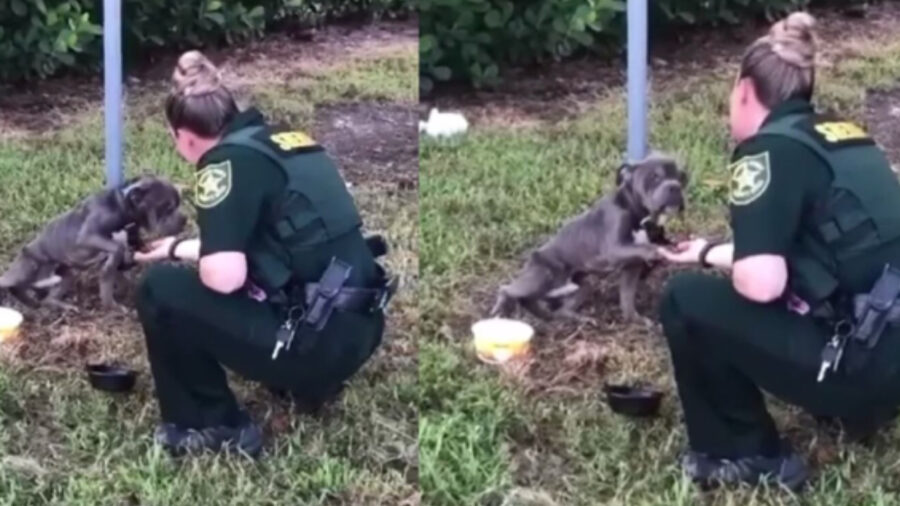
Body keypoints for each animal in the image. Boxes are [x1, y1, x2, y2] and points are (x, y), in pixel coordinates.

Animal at [0, 174, 187, 310]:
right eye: (168, 207)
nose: (185, 219)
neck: (124, 208)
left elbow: (117, 273)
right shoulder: (87, 236)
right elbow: (116, 249)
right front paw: (111, 301)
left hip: (67, 274)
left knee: (47, 298)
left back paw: (58, 306)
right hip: (28, 267)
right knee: (10, 284)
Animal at [488, 153, 684, 324]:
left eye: (682, 177)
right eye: (655, 177)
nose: (675, 186)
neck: (638, 213)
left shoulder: (632, 266)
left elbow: (627, 297)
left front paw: (635, 319)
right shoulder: (614, 249)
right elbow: (646, 248)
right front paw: (661, 251)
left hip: (583, 285)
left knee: (553, 309)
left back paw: (574, 318)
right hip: (544, 275)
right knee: (508, 290)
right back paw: (501, 309)